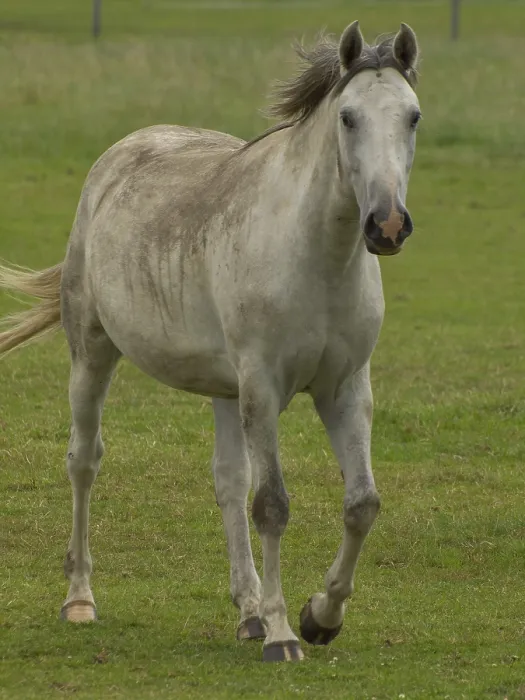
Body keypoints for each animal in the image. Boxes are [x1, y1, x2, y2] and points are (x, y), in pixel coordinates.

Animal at [0, 21, 421, 662]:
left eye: (413, 117)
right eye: (348, 118)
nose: (388, 225)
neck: (315, 255)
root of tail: (120, 154)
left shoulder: (345, 387)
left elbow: (361, 503)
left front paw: (319, 616)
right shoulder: (263, 387)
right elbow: (272, 504)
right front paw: (283, 634)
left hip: (226, 391)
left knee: (227, 481)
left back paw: (247, 612)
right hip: (93, 355)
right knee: (84, 462)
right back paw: (80, 599)